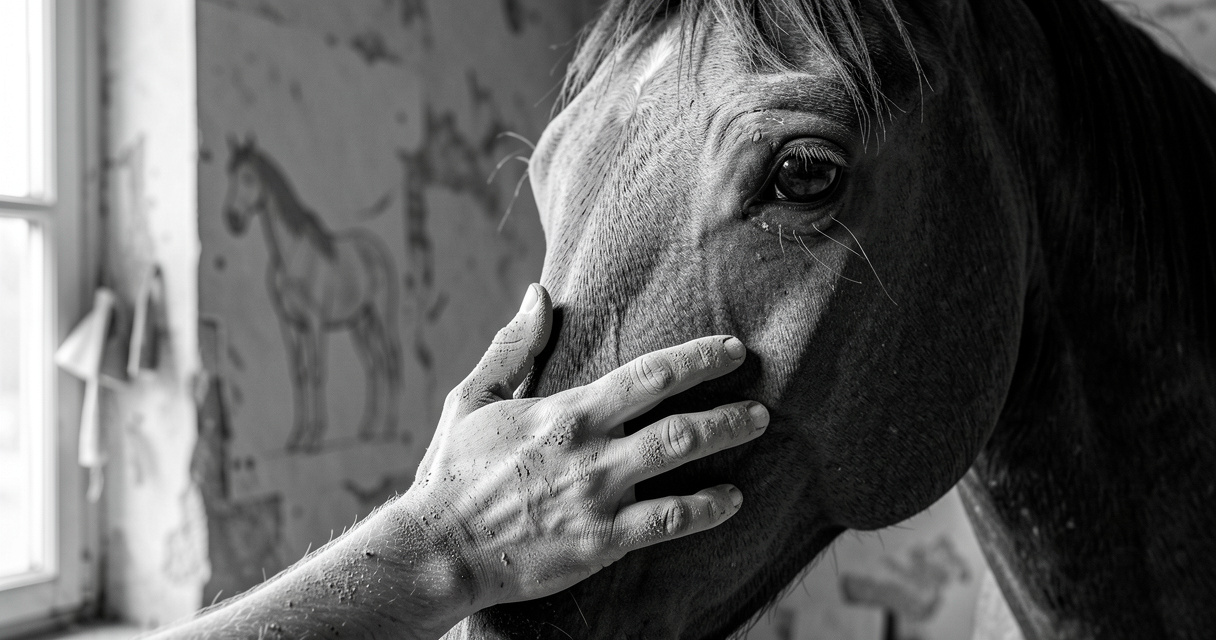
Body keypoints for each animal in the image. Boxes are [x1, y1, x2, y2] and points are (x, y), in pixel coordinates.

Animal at [223, 138, 403, 453]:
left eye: (247, 177)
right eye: (229, 175)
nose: (233, 219)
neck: (293, 256)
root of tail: (376, 249)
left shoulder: (315, 323)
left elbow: (318, 371)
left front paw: (315, 437)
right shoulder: (291, 324)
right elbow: (300, 374)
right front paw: (297, 437)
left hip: (381, 318)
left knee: (391, 361)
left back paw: (390, 428)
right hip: (359, 324)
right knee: (375, 365)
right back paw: (369, 429)